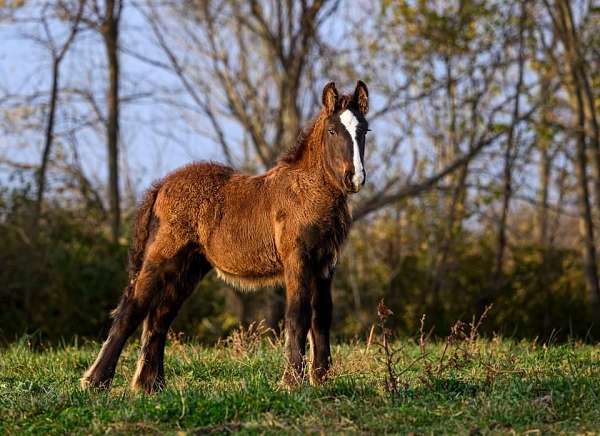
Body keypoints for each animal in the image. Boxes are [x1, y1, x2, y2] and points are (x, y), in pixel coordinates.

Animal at [81, 80, 370, 394]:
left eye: (364, 130)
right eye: (332, 130)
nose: (354, 178)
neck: (306, 189)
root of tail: (161, 185)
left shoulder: (325, 263)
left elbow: (322, 316)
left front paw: (322, 379)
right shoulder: (298, 259)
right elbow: (298, 315)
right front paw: (292, 381)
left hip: (190, 267)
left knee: (160, 317)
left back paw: (151, 385)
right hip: (163, 256)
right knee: (132, 307)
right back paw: (96, 382)